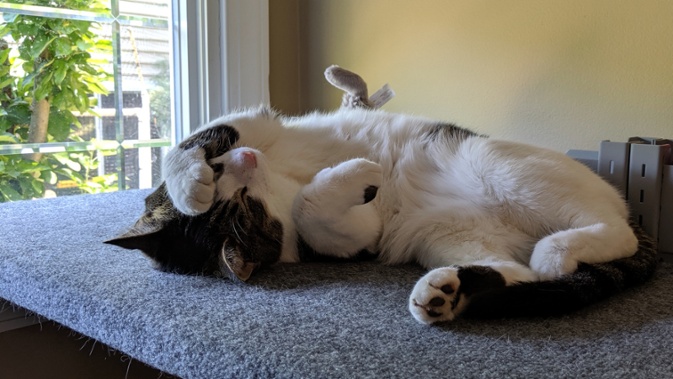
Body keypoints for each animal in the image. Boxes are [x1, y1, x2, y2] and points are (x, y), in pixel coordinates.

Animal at [107, 105, 660, 326]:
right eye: (247, 209)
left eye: (229, 184)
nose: (245, 161)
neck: (280, 181)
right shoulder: (353, 238)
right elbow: (315, 212)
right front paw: (359, 174)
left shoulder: (259, 126)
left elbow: (193, 138)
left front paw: (190, 187)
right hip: (446, 234)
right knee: (521, 270)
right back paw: (445, 292)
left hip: (503, 169)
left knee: (615, 232)